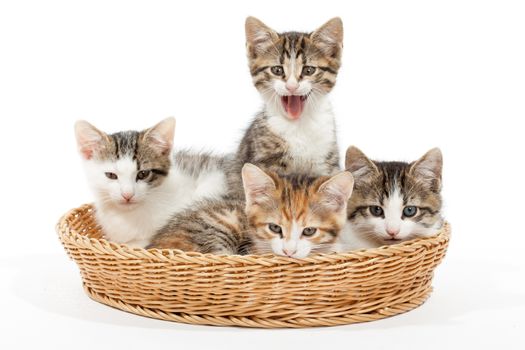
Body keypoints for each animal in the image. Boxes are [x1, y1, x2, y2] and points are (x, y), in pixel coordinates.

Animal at [225, 17, 344, 197]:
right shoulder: (265, 160)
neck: (299, 124)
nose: (292, 87)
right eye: (277, 70)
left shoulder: (326, 161)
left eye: (309, 70)